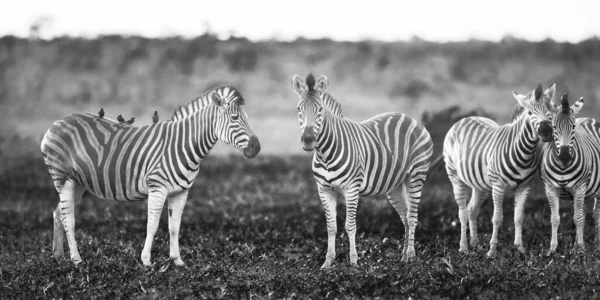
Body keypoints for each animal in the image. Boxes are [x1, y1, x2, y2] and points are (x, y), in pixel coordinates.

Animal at [39, 85, 260, 266]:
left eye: (248, 118)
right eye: (234, 119)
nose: (256, 148)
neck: (183, 144)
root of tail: (56, 123)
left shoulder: (181, 192)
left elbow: (174, 227)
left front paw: (177, 261)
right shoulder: (157, 187)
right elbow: (152, 226)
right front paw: (146, 261)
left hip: (79, 183)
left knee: (58, 213)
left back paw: (58, 257)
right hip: (63, 178)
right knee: (68, 218)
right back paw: (76, 260)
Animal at [292, 72, 442, 268]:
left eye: (320, 110)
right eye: (298, 109)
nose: (308, 140)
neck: (325, 155)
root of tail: (410, 118)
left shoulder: (351, 189)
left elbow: (350, 226)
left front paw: (354, 262)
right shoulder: (324, 190)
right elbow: (331, 227)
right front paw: (328, 262)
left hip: (416, 175)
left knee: (412, 217)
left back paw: (410, 256)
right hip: (395, 185)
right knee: (405, 217)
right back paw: (403, 258)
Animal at [442, 83, 556, 256]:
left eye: (551, 112)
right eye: (530, 113)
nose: (546, 132)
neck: (524, 152)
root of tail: (465, 118)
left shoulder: (524, 187)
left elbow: (518, 217)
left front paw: (520, 249)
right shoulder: (498, 186)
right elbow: (497, 218)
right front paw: (492, 250)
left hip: (479, 184)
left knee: (472, 209)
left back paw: (475, 244)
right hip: (455, 177)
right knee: (462, 212)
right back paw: (463, 247)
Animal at [540, 92, 600, 253]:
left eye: (573, 127)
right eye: (554, 127)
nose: (565, 156)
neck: (563, 167)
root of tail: (588, 119)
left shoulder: (579, 187)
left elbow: (577, 218)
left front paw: (581, 249)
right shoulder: (550, 188)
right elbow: (555, 218)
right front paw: (553, 248)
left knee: (595, 213)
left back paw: (596, 244)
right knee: (586, 212)